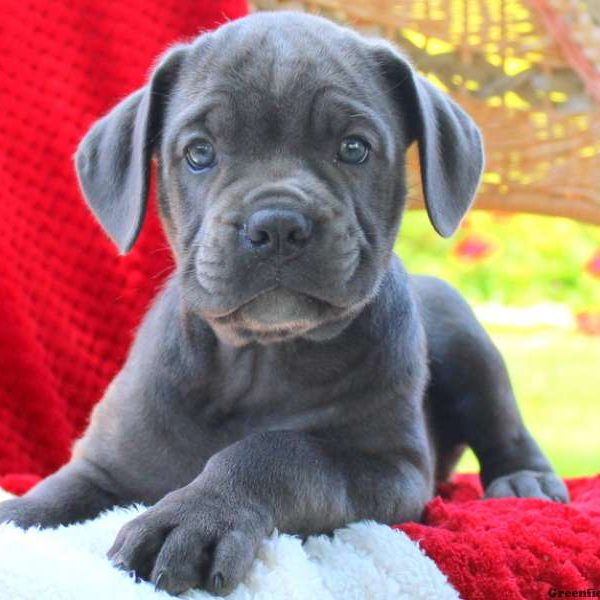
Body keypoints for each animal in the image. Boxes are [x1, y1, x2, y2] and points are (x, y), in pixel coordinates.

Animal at [0, 11, 568, 596]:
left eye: (354, 148)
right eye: (199, 152)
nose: (276, 224)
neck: (258, 359)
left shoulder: (388, 467)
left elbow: (280, 451)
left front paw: (195, 514)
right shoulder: (103, 464)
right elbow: (51, 495)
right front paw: (19, 516)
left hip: (468, 342)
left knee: (503, 425)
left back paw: (526, 480)